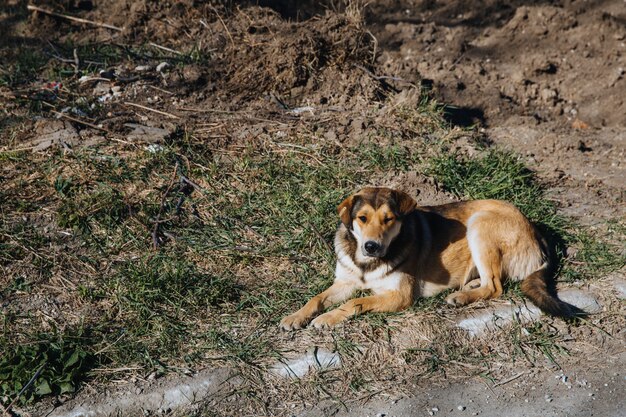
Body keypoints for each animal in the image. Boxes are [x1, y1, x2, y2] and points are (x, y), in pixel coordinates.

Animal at [280, 187, 576, 330]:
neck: (367, 264)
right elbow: (316, 298)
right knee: (491, 281)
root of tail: (536, 232)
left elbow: (355, 302)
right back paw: (468, 286)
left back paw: (462, 296)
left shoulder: (399, 296)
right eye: (362, 218)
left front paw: (326, 319)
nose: (371, 246)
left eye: (388, 219)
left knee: (495, 286)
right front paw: (295, 317)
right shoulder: (344, 282)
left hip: (480, 224)